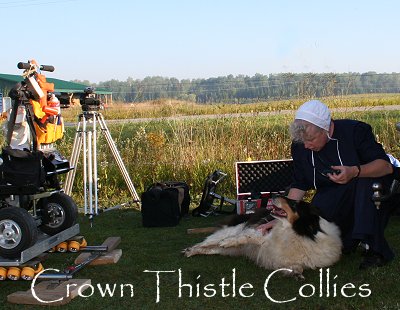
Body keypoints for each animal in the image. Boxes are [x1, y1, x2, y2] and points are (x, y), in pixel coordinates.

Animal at [183, 196, 342, 278]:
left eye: (294, 204)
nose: (276, 195)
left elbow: (299, 267)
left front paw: (296, 273)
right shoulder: (263, 233)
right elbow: (248, 237)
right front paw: (229, 241)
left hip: (231, 250)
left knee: (210, 248)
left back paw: (191, 251)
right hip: (231, 230)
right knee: (206, 242)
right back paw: (191, 249)